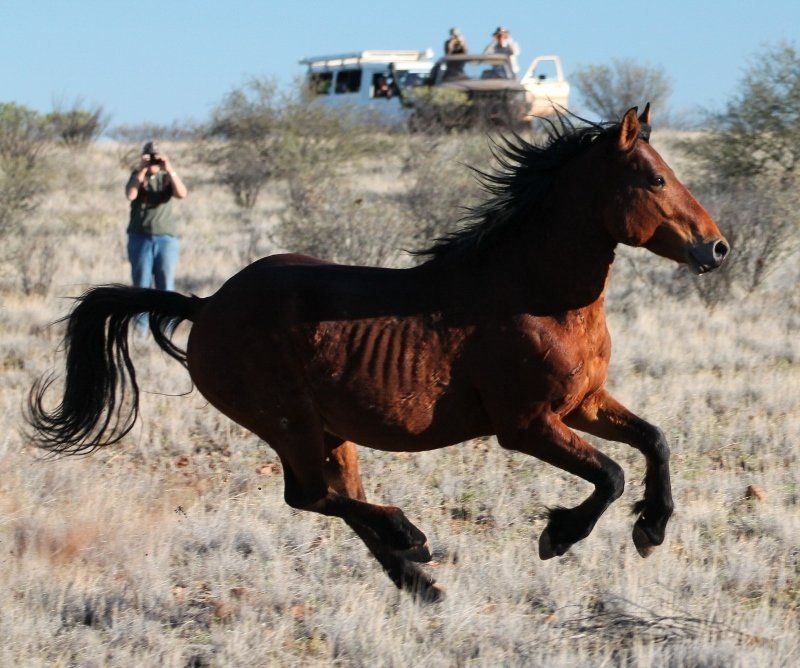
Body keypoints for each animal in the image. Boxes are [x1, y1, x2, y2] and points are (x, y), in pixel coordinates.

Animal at [28, 106, 729, 602]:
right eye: (654, 177)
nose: (717, 248)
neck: (536, 292)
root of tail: (207, 306)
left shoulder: (582, 404)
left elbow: (655, 440)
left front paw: (652, 528)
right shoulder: (527, 425)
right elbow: (609, 475)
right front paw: (558, 536)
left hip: (331, 431)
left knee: (331, 498)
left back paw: (418, 577)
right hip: (289, 422)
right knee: (310, 497)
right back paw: (409, 537)